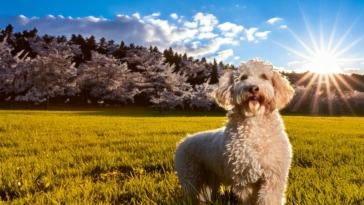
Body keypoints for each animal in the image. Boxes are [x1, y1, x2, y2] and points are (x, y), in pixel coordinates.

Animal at [174, 58, 296, 204]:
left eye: (264, 76)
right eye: (243, 77)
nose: (253, 88)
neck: (254, 124)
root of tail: (184, 140)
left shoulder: (273, 177)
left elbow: (270, 199)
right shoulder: (243, 179)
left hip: (210, 179)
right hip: (191, 177)